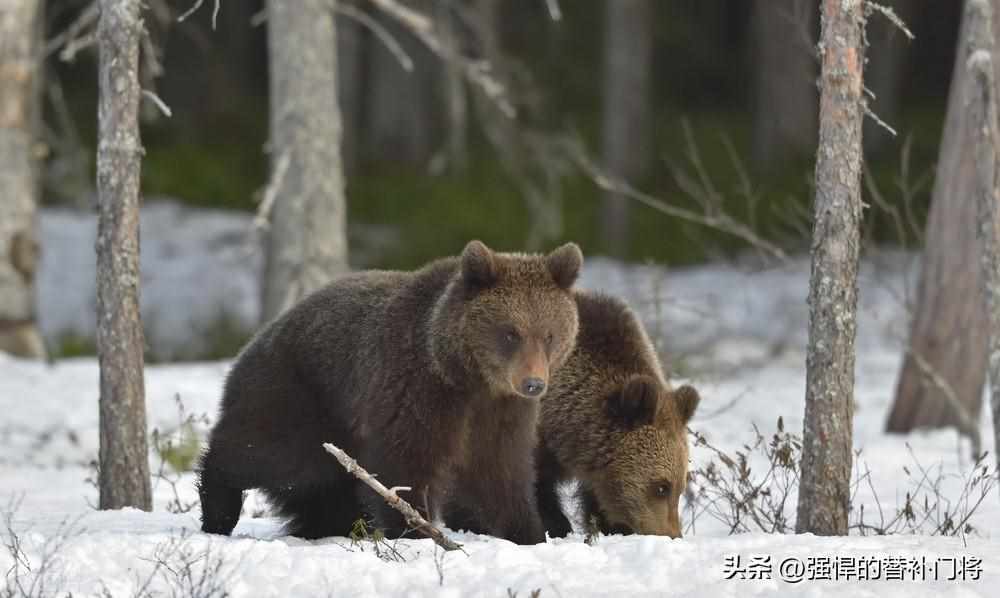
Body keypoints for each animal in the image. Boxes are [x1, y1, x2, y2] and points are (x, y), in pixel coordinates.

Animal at [196, 241, 584, 548]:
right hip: (302, 396)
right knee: (269, 453)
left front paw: (529, 533)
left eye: (549, 335)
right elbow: (404, 464)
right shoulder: (414, 390)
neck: (468, 378)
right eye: (510, 333)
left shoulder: (501, 413)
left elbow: (503, 474)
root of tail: (258, 337)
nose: (533, 383)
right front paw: (417, 531)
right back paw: (218, 511)